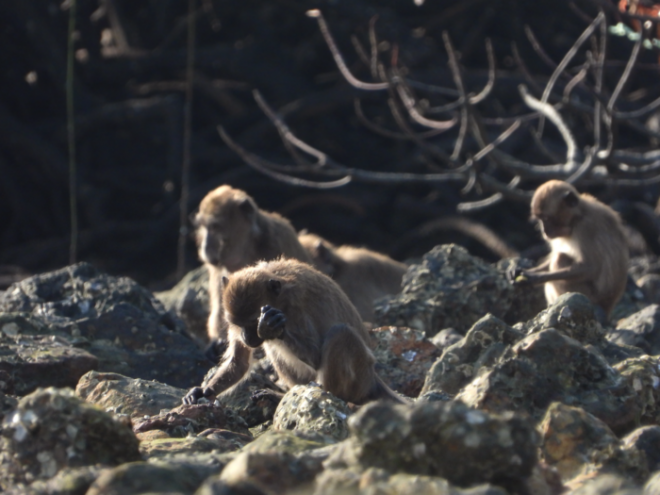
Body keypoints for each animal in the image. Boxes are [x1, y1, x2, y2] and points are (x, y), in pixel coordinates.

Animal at [182, 258, 408, 404]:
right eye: (238, 324)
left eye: (252, 323)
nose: (246, 337)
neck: (280, 298)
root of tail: (372, 379)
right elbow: (239, 362)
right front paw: (203, 392)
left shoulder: (296, 309)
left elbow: (316, 356)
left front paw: (269, 328)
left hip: (359, 377)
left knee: (340, 333)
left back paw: (331, 396)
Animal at [510, 180, 628, 316]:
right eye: (540, 219)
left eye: (546, 218)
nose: (544, 231)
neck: (577, 216)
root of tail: (608, 305)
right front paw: (522, 271)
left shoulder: (585, 227)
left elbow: (590, 268)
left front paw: (535, 278)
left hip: (590, 296)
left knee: (559, 258)